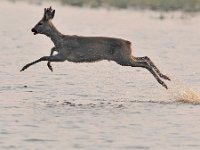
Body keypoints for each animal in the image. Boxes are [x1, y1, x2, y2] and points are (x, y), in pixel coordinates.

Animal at [20, 7, 170, 88]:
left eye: (40, 23)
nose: (32, 29)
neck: (60, 39)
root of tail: (129, 43)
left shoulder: (64, 56)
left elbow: (43, 56)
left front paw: (24, 67)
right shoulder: (60, 51)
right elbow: (50, 51)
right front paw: (50, 66)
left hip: (123, 59)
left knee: (144, 62)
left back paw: (163, 82)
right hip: (126, 57)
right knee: (146, 57)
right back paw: (166, 77)